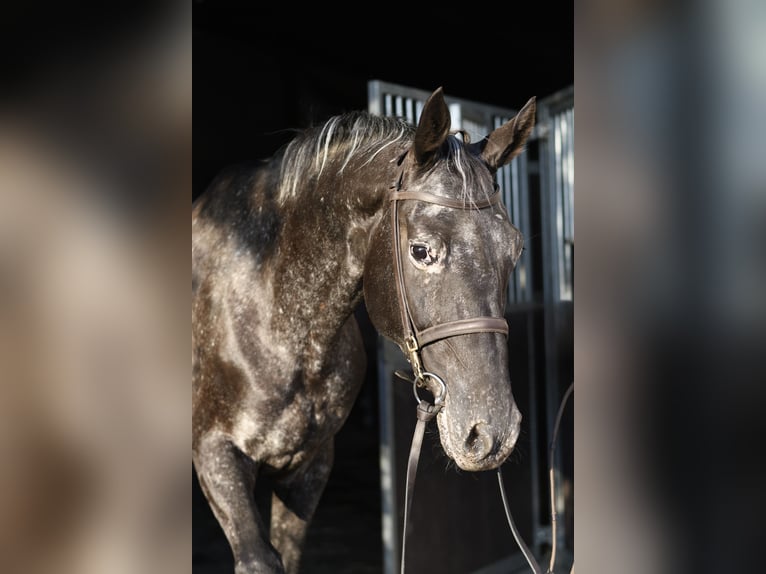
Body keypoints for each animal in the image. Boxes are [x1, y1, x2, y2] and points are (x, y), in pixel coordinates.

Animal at [192, 87, 536, 574]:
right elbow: (261, 558)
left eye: (516, 248)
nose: (492, 434)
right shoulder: (214, 454)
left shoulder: (309, 466)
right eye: (421, 250)